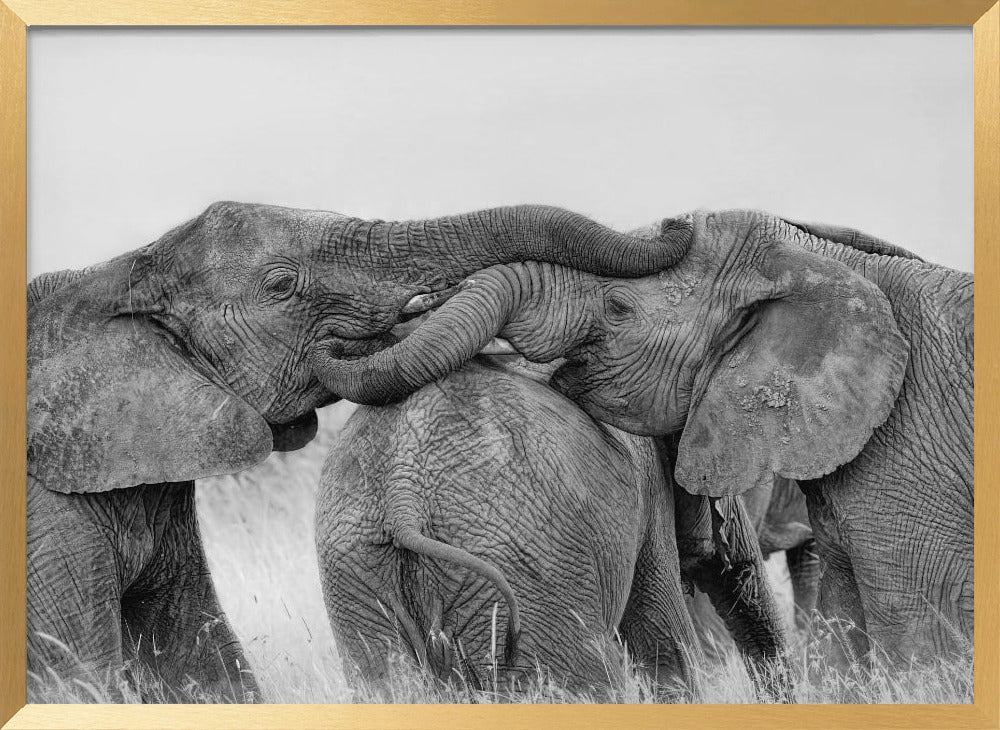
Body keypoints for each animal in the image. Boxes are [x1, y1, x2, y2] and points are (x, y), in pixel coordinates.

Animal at [27, 201, 690, 701]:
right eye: (280, 286)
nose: (676, 225)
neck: (108, 279)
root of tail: (403, 489)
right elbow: (79, 676)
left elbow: (196, 654)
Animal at [316, 356, 790, 701]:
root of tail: (403, 490)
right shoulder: (648, 495)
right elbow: (666, 649)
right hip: (527, 568)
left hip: (354, 571)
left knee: (388, 684)